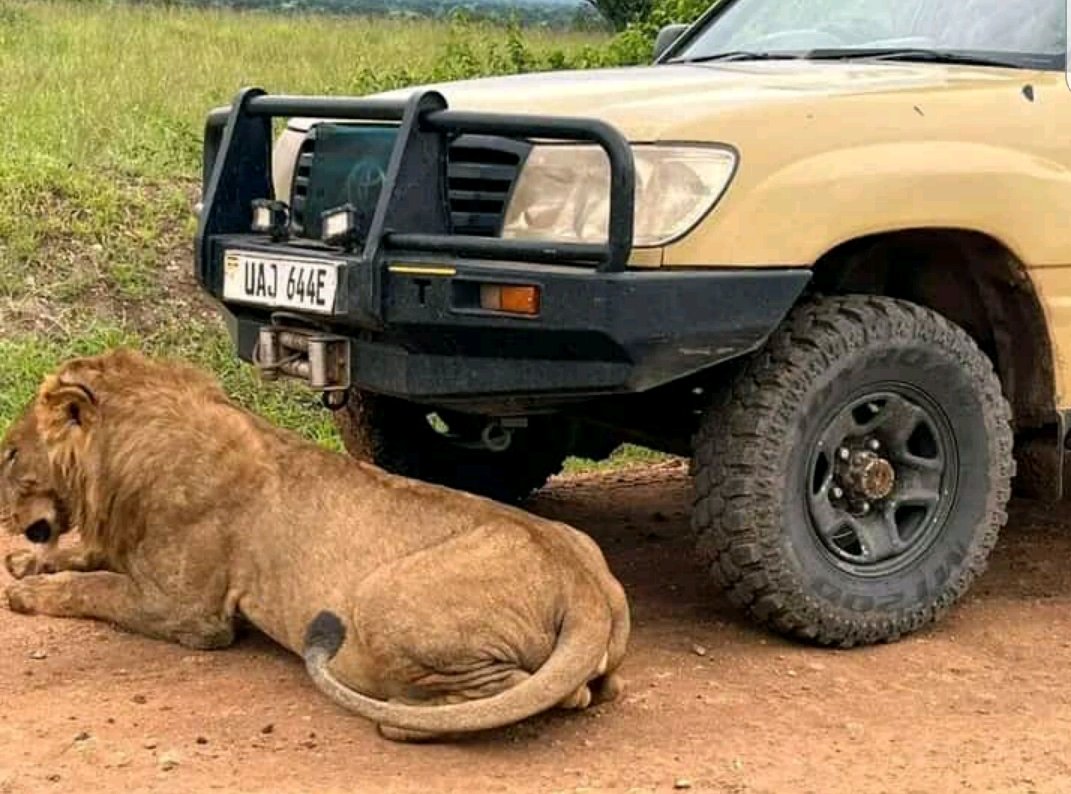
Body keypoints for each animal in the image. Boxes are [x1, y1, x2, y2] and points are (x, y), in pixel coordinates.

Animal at [0, 349, 629, 741]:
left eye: (8, 453)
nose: (6, 516)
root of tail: (583, 588)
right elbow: (89, 558)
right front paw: (24, 561)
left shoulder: (187, 614)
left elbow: (95, 588)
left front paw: (28, 593)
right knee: (596, 690)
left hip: (379, 599)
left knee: (530, 693)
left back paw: (404, 716)